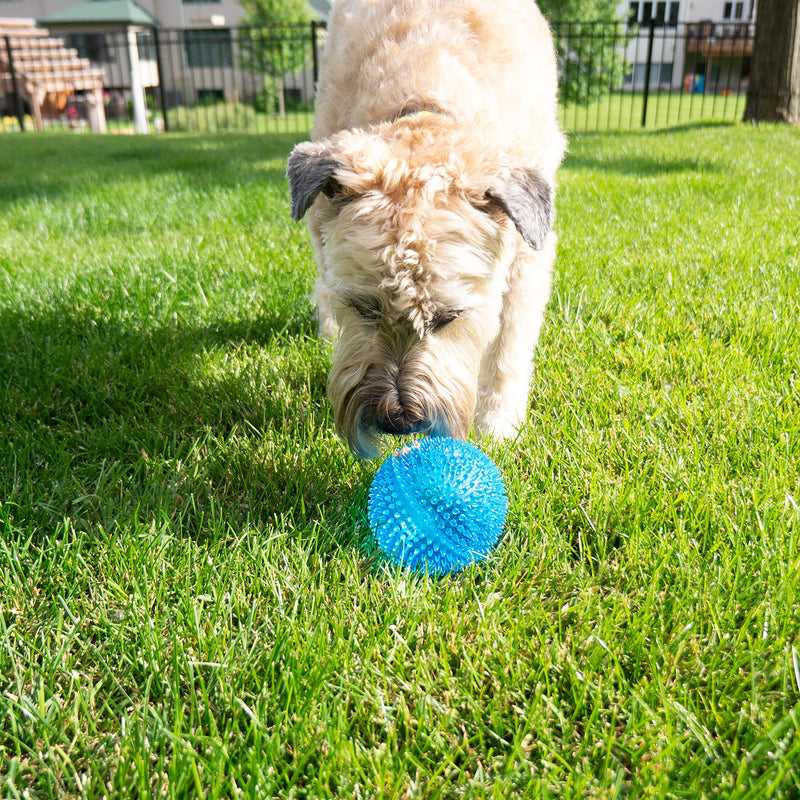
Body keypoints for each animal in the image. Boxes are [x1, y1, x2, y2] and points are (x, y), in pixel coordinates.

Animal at [288, 0, 564, 456]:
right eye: (363, 308)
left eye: (450, 317)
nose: (398, 420)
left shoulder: (528, 253)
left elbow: (508, 346)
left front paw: (498, 425)